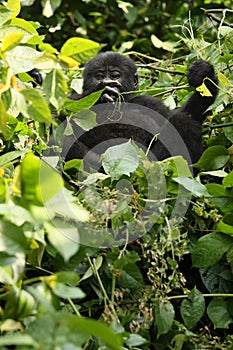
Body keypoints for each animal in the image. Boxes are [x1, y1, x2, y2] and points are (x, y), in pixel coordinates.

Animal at [62, 51, 218, 169]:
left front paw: (204, 73)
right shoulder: (74, 99)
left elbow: (187, 114)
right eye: (99, 76)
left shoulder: (149, 102)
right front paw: (100, 93)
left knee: (182, 121)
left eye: (115, 75)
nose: (109, 83)